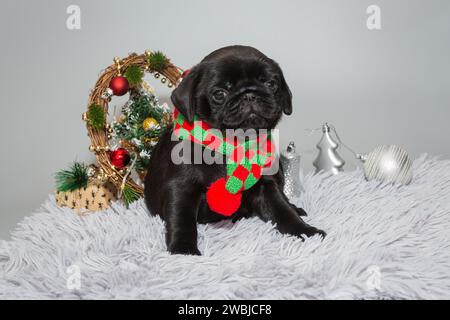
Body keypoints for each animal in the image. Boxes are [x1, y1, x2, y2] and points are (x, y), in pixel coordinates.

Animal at [146, 45, 326, 255]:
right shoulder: (181, 188)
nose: (249, 94)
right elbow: (182, 220)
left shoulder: (266, 185)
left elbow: (282, 210)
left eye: (271, 84)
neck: (232, 145)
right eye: (219, 94)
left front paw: (306, 231)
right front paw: (183, 250)